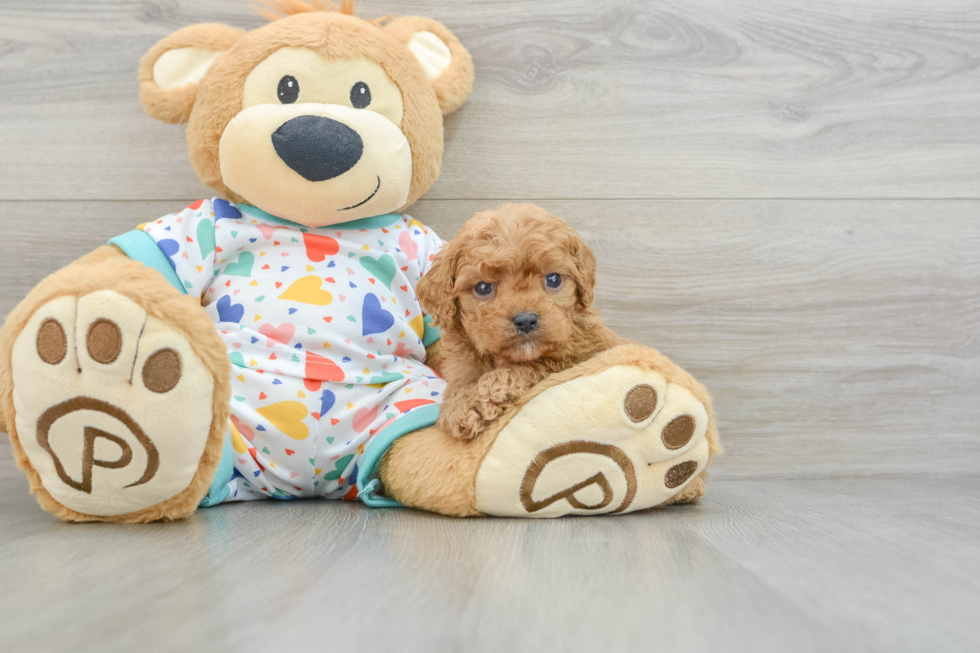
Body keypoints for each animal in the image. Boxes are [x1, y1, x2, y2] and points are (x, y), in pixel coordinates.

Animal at [418, 204, 624, 438]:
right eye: (483, 287)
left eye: (554, 279)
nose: (526, 320)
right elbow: (457, 389)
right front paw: (460, 406)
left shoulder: (579, 356)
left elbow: (532, 367)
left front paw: (477, 401)